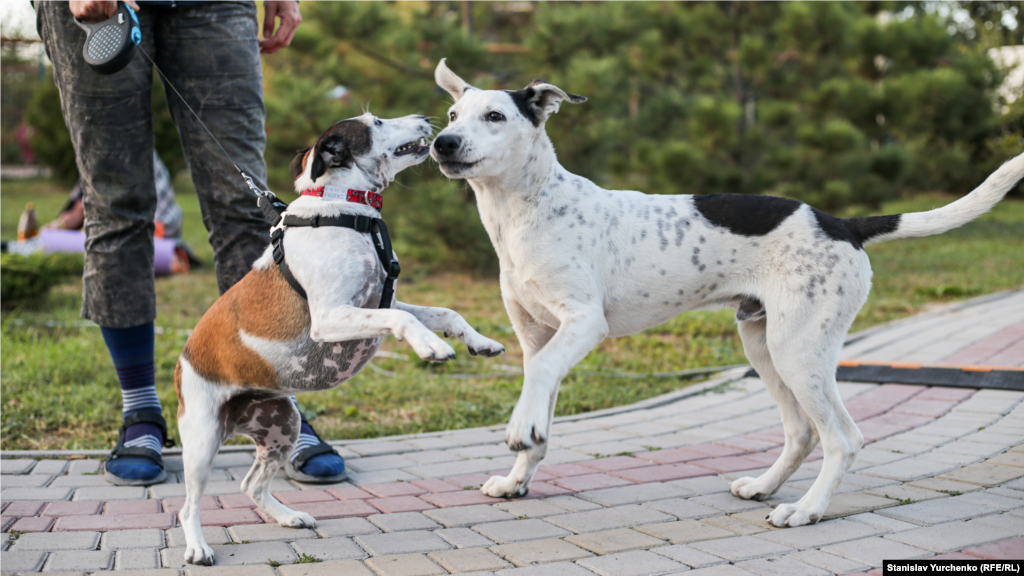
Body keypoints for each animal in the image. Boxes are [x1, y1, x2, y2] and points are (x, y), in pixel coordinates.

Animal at [179, 113, 512, 565]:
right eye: (377, 122)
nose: (426, 117)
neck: (343, 206)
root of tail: (183, 358)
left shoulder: (382, 299)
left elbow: (445, 313)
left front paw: (479, 341)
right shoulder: (330, 317)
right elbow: (401, 320)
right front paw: (432, 346)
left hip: (283, 427)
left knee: (252, 484)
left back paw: (288, 517)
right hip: (202, 442)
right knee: (188, 505)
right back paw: (197, 547)